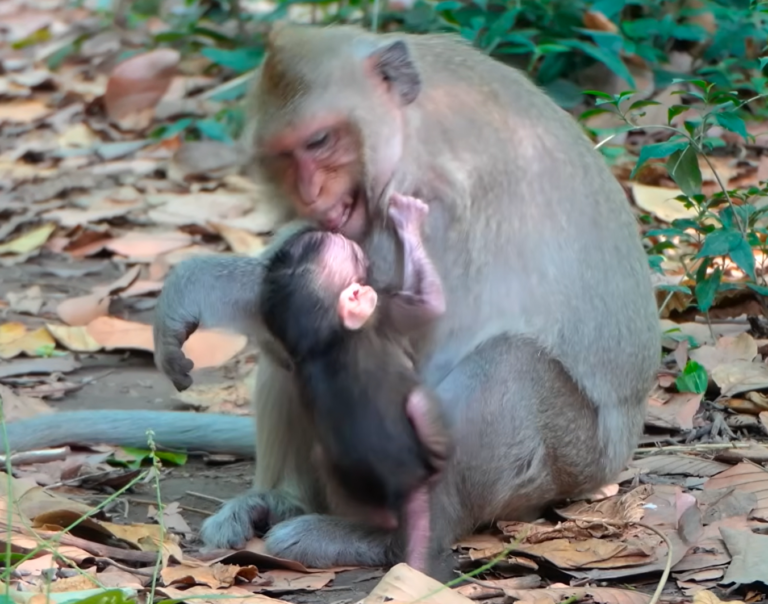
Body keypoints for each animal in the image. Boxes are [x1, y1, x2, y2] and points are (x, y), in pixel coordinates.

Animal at [258, 193, 450, 570]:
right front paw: (408, 218)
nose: (340, 233)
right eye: (357, 256)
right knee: (420, 402)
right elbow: (431, 305)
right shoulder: (386, 310)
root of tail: (400, 487)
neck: (324, 337)